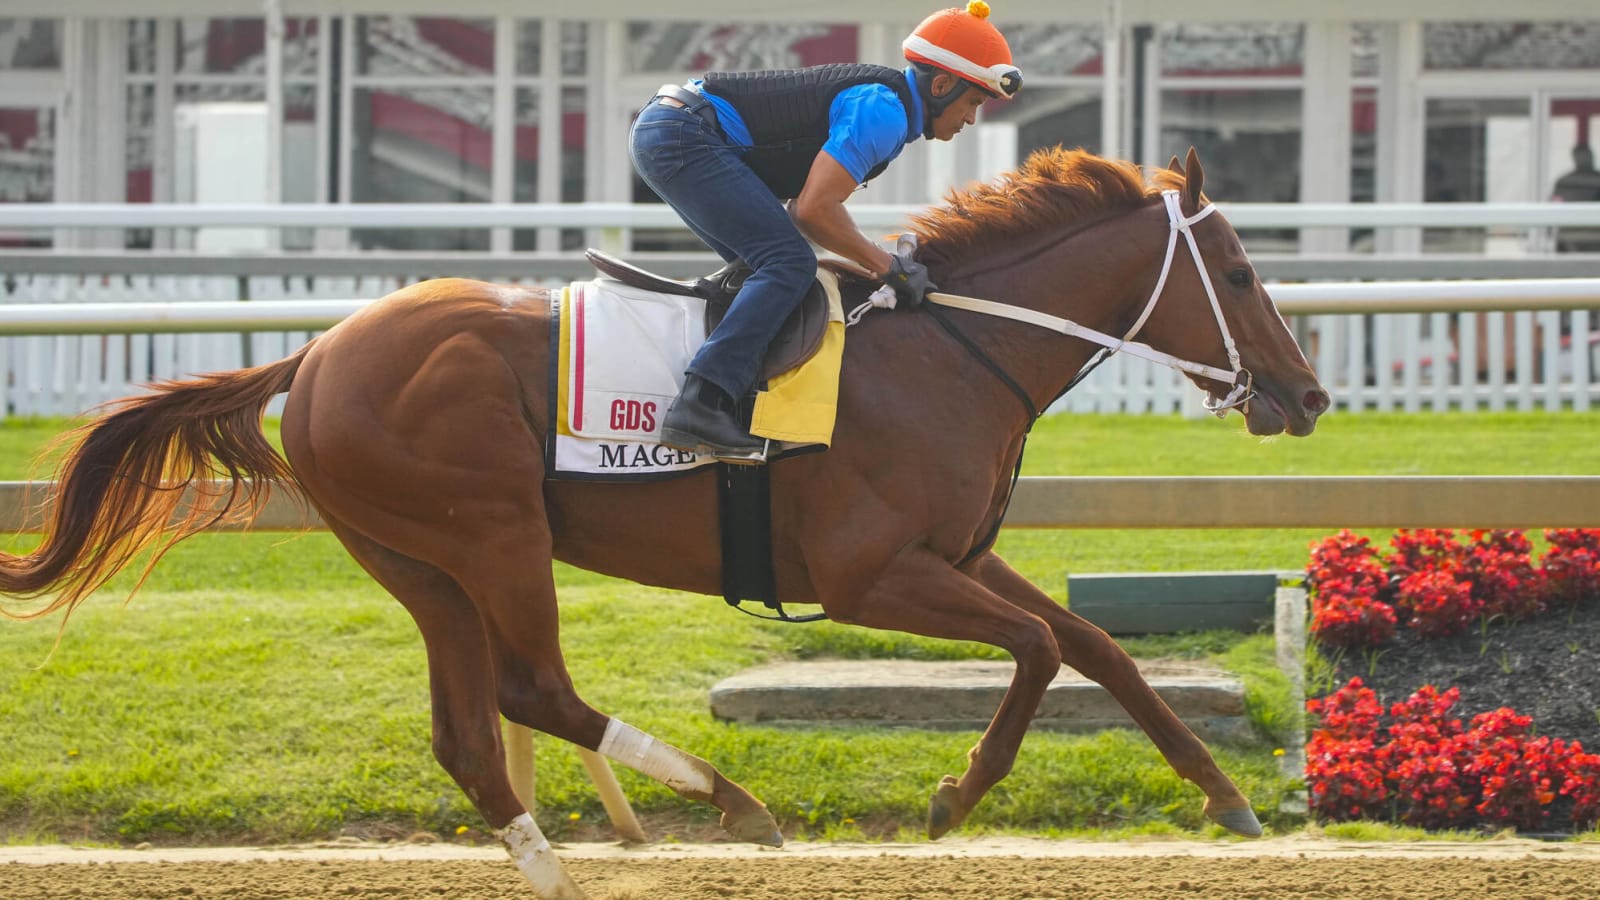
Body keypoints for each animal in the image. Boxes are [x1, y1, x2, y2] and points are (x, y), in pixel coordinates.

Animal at [0, 150, 1324, 890]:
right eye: (1242, 276)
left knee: (470, 733)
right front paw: (953, 798)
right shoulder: (869, 575)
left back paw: (567, 865)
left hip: (415, 558)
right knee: (530, 689)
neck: (953, 348)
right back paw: (733, 805)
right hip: (491, 533)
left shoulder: (957, 553)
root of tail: (315, 353)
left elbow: (1098, 646)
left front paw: (1225, 795)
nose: (1308, 397)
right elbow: (1045, 648)